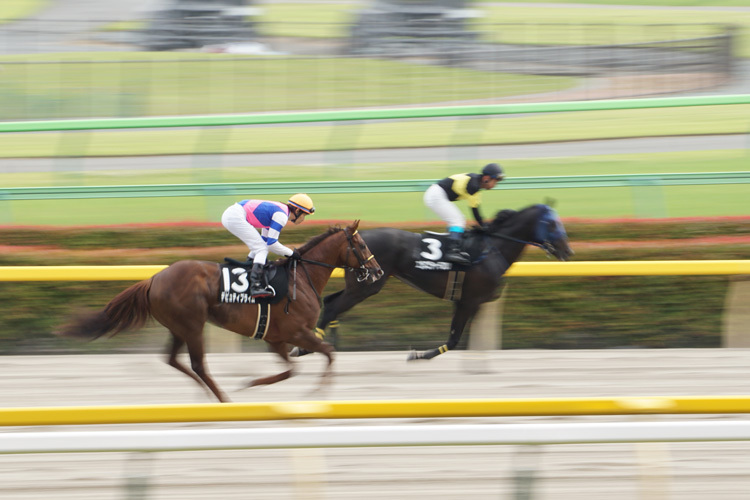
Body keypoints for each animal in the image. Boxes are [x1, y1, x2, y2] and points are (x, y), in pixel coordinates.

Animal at [57, 221, 382, 404]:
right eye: (362, 244)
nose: (378, 271)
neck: (300, 278)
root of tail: (155, 278)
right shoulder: (296, 331)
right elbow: (327, 352)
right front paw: (316, 394)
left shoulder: (275, 338)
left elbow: (292, 369)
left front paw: (253, 383)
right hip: (192, 324)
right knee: (198, 364)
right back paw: (223, 399)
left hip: (179, 326)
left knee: (173, 360)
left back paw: (206, 397)